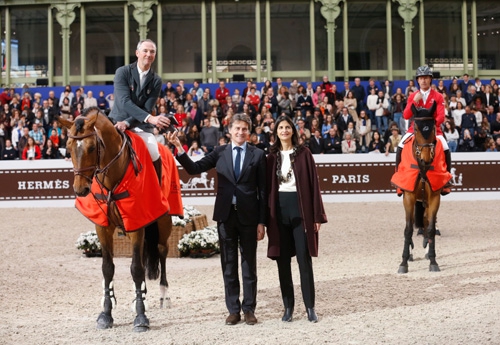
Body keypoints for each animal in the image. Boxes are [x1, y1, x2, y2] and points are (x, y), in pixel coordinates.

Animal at [57, 107, 172, 330]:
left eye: (92, 147)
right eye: (68, 148)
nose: (80, 189)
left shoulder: (136, 223)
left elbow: (136, 269)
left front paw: (141, 317)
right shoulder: (103, 227)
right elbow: (108, 269)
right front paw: (106, 313)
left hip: (163, 221)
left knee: (162, 250)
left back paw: (164, 294)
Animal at [396, 101, 444, 272]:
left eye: (433, 127)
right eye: (416, 128)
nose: (426, 158)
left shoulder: (435, 196)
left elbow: (430, 228)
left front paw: (433, 260)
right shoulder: (409, 197)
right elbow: (408, 229)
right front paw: (404, 262)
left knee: (426, 222)